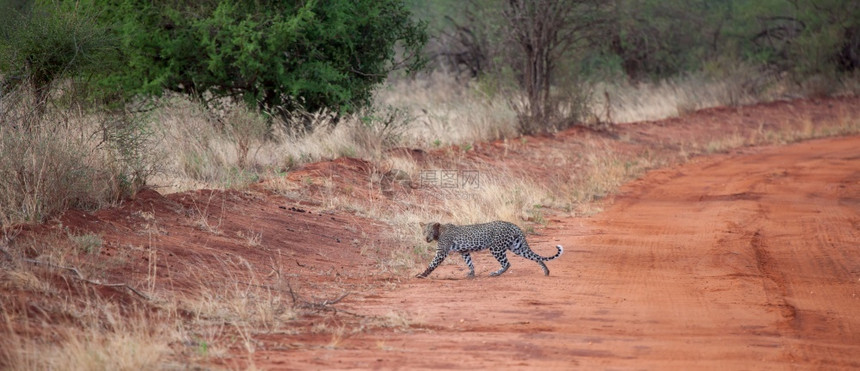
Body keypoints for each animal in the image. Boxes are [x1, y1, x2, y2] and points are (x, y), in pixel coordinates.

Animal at [416, 221, 564, 280]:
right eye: (423, 231)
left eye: (430, 231)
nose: (426, 238)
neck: (439, 233)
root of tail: (514, 225)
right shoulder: (464, 252)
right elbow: (469, 263)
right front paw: (471, 273)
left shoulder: (441, 252)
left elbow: (432, 265)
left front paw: (421, 275)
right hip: (517, 247)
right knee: (536, 256)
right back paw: (546, 271)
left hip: (496, 248)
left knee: (507, 263)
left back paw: (495, 273)